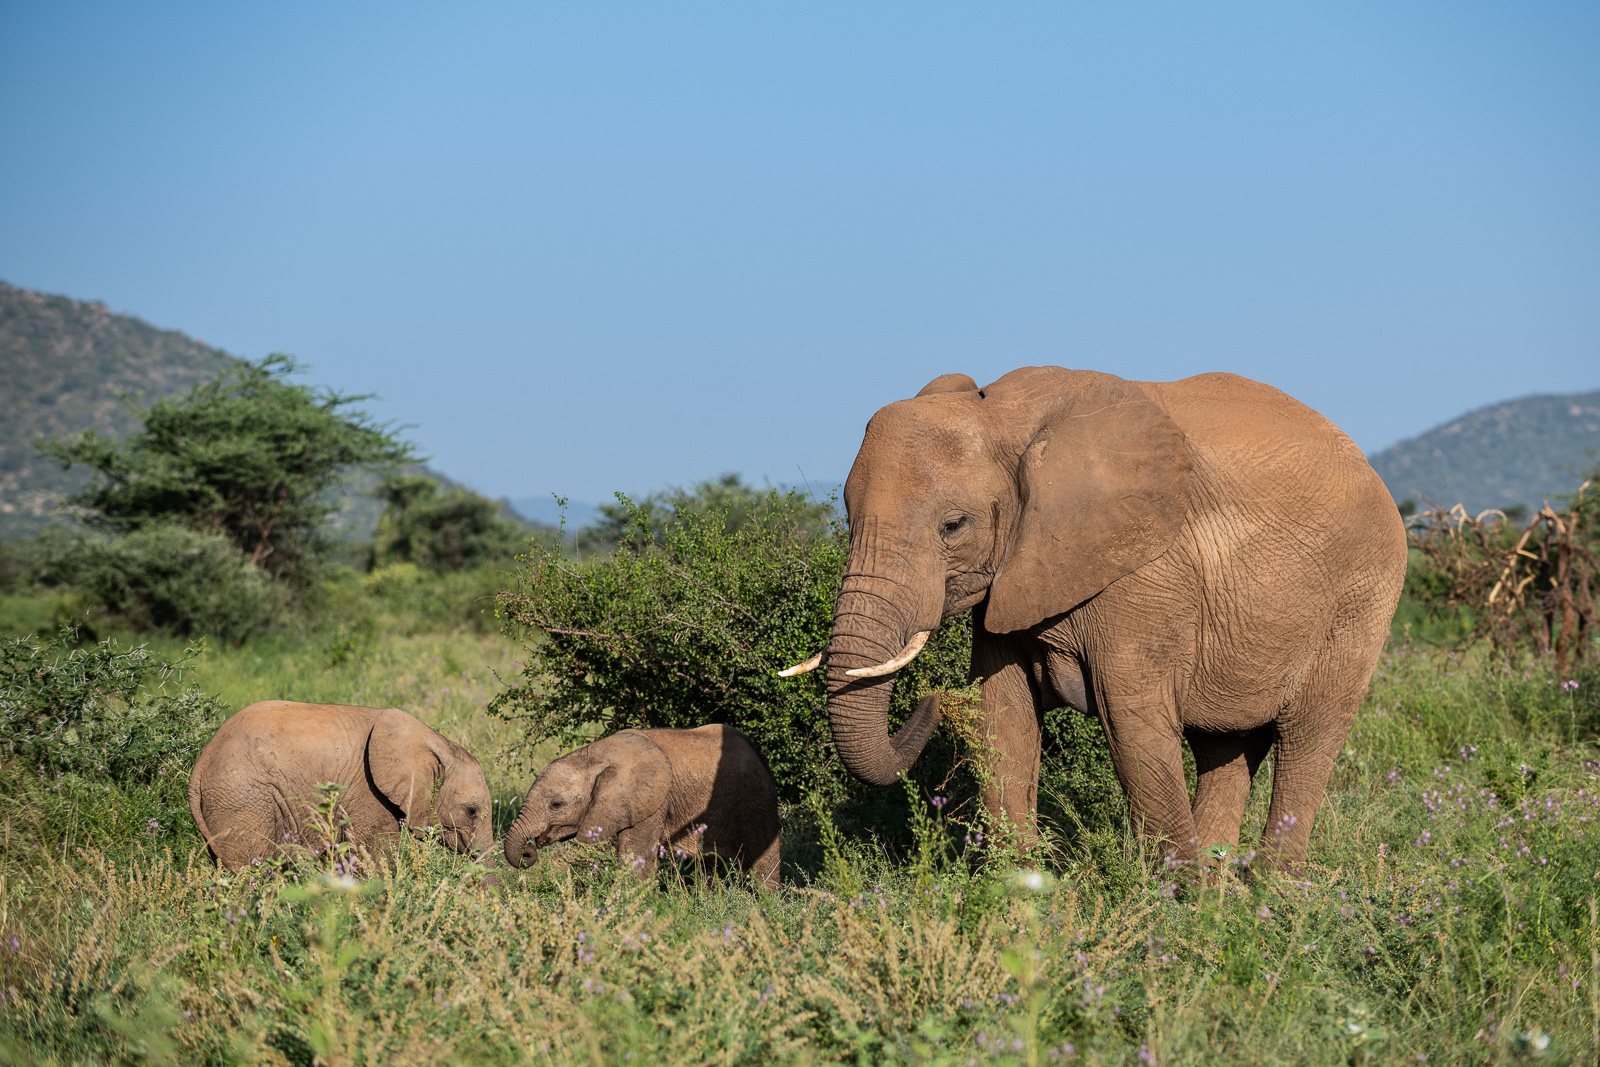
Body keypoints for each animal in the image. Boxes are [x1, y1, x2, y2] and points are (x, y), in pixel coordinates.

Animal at [187, 700, 489, 870]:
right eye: (471, 811)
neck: (433, 741)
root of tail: (199, 768)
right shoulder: (369, 795)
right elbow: (376, 857)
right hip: (244, 801)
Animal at [499, 723, 774, 889]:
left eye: (556, 804)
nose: (528, 852)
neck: (594, 755)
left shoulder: (653, 800)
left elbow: (634, 855)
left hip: (756, 799)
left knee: (763, 863)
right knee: (706, 866)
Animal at [780, 371, 1408, 870]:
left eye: (953, 526)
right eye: (845, 512)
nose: (928, 700)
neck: (1004, 416)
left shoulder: (1145, 573)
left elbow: (1132, 721)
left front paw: (1170, 906)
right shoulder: (1016, 576)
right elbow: (1002, 715)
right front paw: (1021, 888)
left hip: (1362, 598)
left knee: (1308, 737)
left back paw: (1264, 898)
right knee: (1224, 745)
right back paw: (1219, 898)